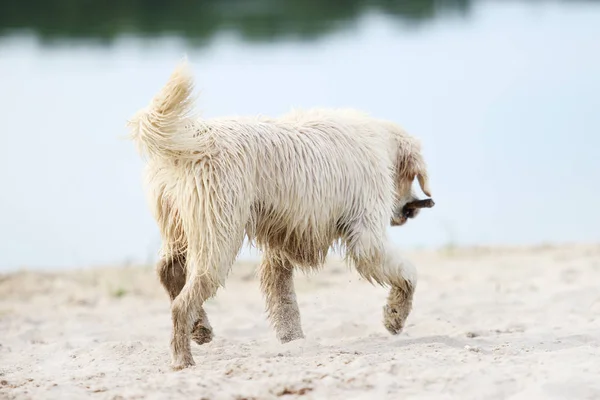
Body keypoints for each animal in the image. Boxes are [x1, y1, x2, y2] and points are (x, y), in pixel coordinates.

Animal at [129, 61, 434, 370]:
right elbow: (408, 273)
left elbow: (283, 299)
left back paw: (200, 328)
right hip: (218, 234)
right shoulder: (366, 236)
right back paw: (183, 357)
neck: (381, 143)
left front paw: (293, 340)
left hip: (178, 227)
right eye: (411, 178)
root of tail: (191, 141)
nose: (411, 211)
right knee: (182, 302)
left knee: (169, 273)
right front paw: (395, 315)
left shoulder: (281, 243)